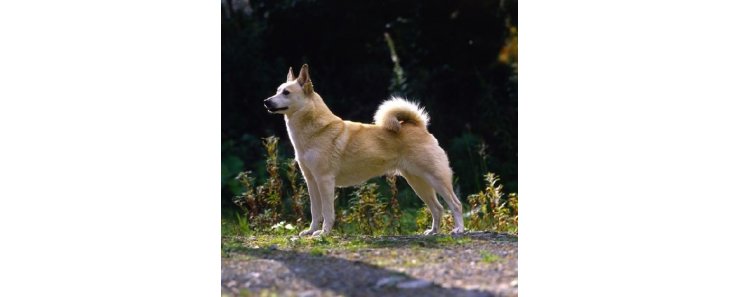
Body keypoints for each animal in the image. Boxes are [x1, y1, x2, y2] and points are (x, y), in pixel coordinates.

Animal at [264, 65, 462, 236]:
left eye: (286, 92)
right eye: (277, 90)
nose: (266, 101)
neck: (315, 130)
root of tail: (419, 126)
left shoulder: (325, 180)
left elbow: (327, 212)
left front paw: (324, 233)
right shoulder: (311, 181)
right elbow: (315, 210)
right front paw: (311, 231)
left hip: (436, 178)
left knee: (455, 204)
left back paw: (459, 229)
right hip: (418, 182)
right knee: (437, 208)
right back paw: (433, 232)